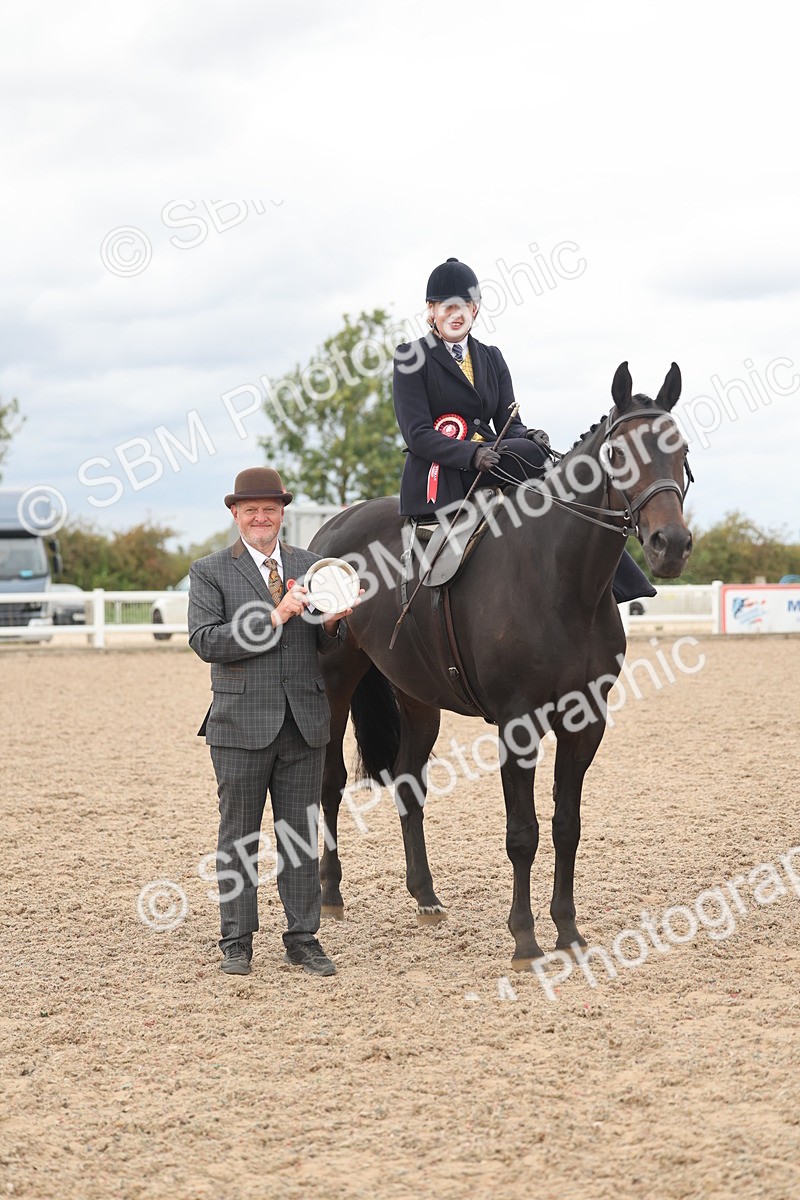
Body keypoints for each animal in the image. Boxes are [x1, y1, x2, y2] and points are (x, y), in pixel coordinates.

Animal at [309, 362, 693, 966]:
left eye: (682, 450)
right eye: (617, 453)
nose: (669, 544)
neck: (560, 579)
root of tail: (331, 528)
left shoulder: (586, 721)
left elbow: (566, 825)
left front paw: (568, 930)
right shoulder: (519, 723)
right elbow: (523, 833)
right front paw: (526, 938)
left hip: (417, 695)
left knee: (408, 782)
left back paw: (426, 896)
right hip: (336, 681)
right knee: (329, 782)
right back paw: (330, 893)